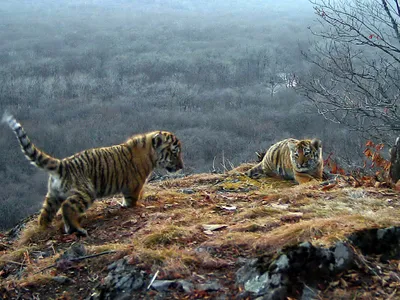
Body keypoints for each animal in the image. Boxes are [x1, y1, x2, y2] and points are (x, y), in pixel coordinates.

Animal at [2, 112, 184, 237]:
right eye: (175, 153)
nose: (182, 166)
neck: (150, 154)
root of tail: (62, 164)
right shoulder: (134, 185)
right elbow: (132, 198)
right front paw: (134, 206)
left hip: (53, 195)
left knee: (45, 214)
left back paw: (44, 229)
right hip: (86, 191)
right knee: (68, 206)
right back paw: (77, 229)